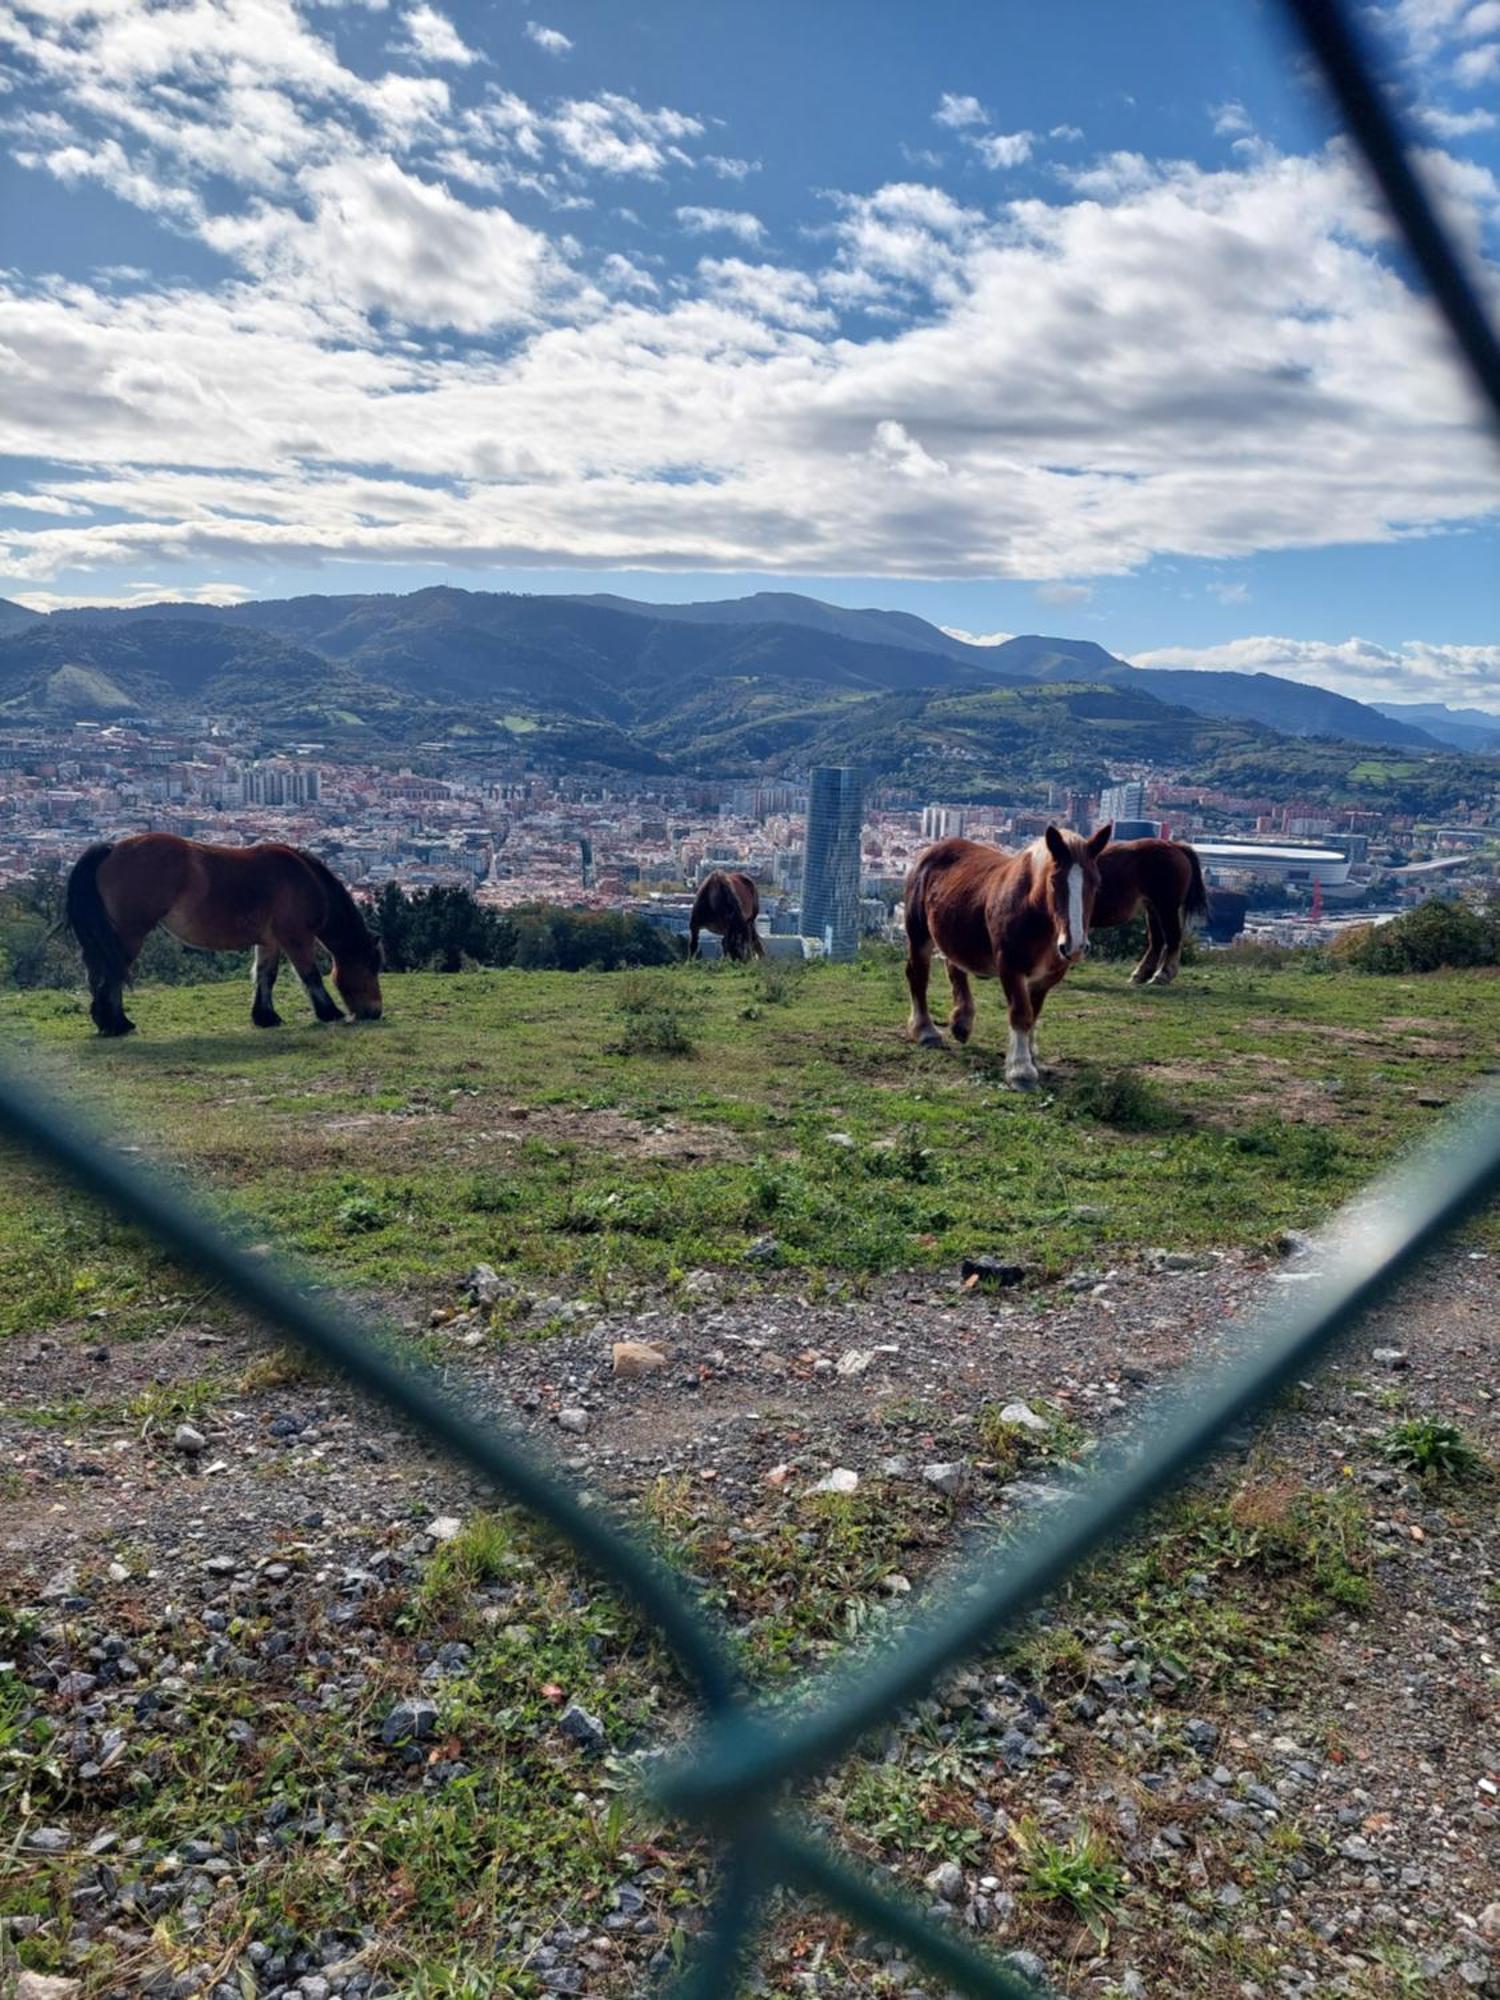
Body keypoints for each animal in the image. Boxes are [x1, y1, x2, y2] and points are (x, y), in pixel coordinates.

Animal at [65, 836, 384, 1040]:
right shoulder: (295, 937)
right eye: (371, 967)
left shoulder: (270, 941)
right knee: (112, 975)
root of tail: (112, 849)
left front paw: (265, 1016)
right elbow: (310, 975)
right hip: (130, 933)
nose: (375, 1012)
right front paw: (329, 1012)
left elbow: (266, 976)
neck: (305, 881)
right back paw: (117, 1024)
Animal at [904, 820, 1120, 1088]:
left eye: (1096, 883)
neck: (1038, 916)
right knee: (918, 975)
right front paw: (1021, 1070)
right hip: (919, 933)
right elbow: (1020, 1012)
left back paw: (962, 1021)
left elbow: (1033, 1014)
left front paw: (1030, 1055)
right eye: (1054, 882)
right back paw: (926, 1030)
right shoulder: (1009, 966)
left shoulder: (1048, 976)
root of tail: (932, 850)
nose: (1075, 946)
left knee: (954, 965)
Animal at [1096, 836, 1216, 984]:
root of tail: (1176, 846)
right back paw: (1141, 974)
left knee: (1172, 937)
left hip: (1166, 906)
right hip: (1153, 908)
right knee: (1157, 940)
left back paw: (1162, 974)